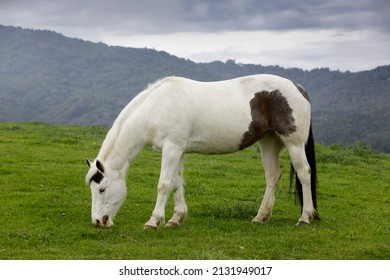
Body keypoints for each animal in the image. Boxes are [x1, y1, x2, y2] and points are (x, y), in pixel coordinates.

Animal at [84, 74, 318, 230]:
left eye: (102, 189)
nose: (97, 221)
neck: (158, 107)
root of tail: (297, 87)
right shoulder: (177, 150)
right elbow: (176, 185)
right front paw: (175, 218)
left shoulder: (172, 148)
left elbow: (163, 185)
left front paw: (153, 221)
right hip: (269, 142)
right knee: (272, 177)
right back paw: (261, 216)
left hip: (293, 143)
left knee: (304, 174)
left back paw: (305, 217)